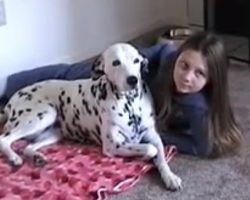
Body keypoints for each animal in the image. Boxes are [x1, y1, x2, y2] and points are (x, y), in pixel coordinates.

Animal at [0, 43, 181, 190]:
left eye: (136, 60)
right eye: (116, 62)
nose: (133, 80)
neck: (130, 104)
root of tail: (11, 100)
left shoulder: (153, 136)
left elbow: (160, 155)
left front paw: (170, 177)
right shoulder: (113, 145)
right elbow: (149, 149)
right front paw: (144, 155)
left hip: (53, 133)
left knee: (28, 147)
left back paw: (37, 157)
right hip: (44, 114)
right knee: (4, 139)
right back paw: (14, 157)